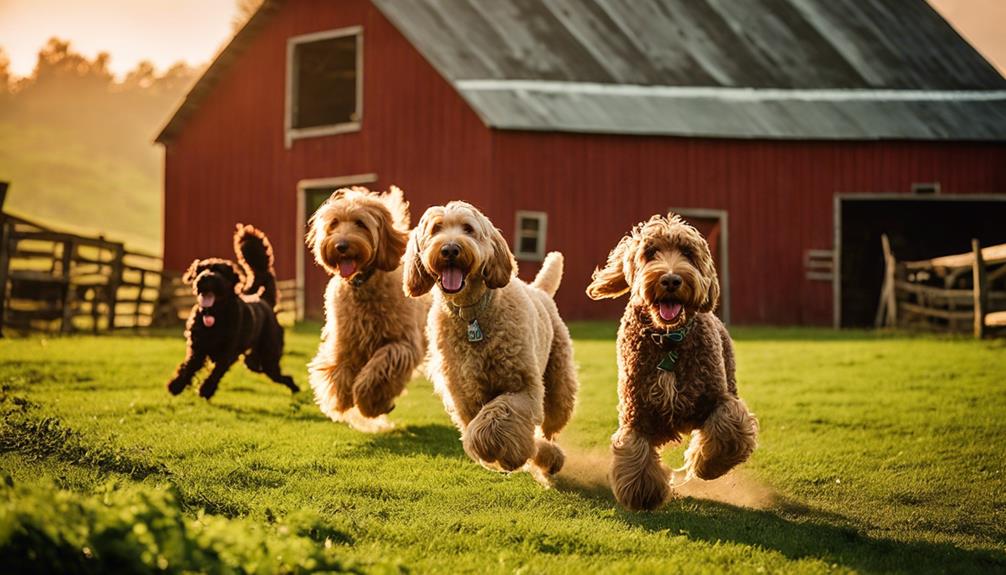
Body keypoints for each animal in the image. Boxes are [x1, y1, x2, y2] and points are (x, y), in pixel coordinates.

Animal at [164, 224, 295, 400]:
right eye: (200, 270)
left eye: (220, 271)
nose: (205, 278)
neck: (215, 315)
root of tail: (263, 300)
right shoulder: (197, 348)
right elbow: (188, 366)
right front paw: (177, 385)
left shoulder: (228, 352)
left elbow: (217, 371)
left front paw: (206, 389)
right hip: (255, 361)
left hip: (269, 357)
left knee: (280, 375)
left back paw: (296, 389)